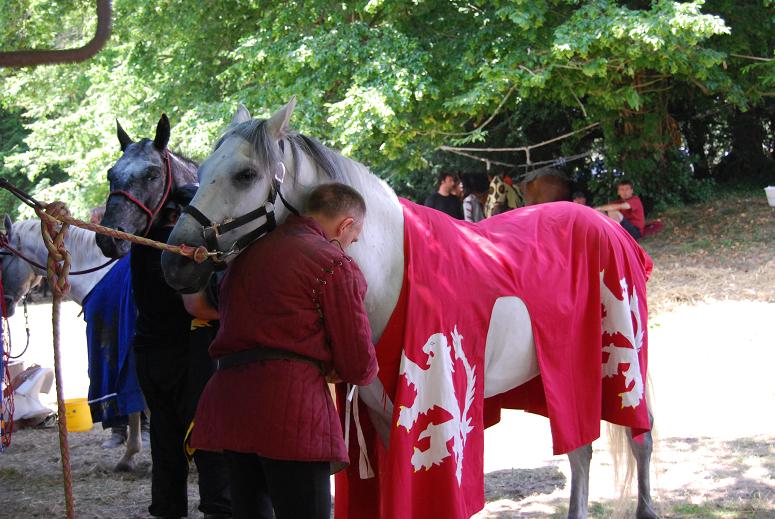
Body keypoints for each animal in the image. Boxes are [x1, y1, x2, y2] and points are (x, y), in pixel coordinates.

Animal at [161, 101, 656, 519]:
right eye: (202, 170)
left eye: (245, 174)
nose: (176, 262)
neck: (389, 268)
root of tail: (611, 228)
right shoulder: (385, 418)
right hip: (563, 382)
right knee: (580, 450)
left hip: (622, 365)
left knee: (641, 438)